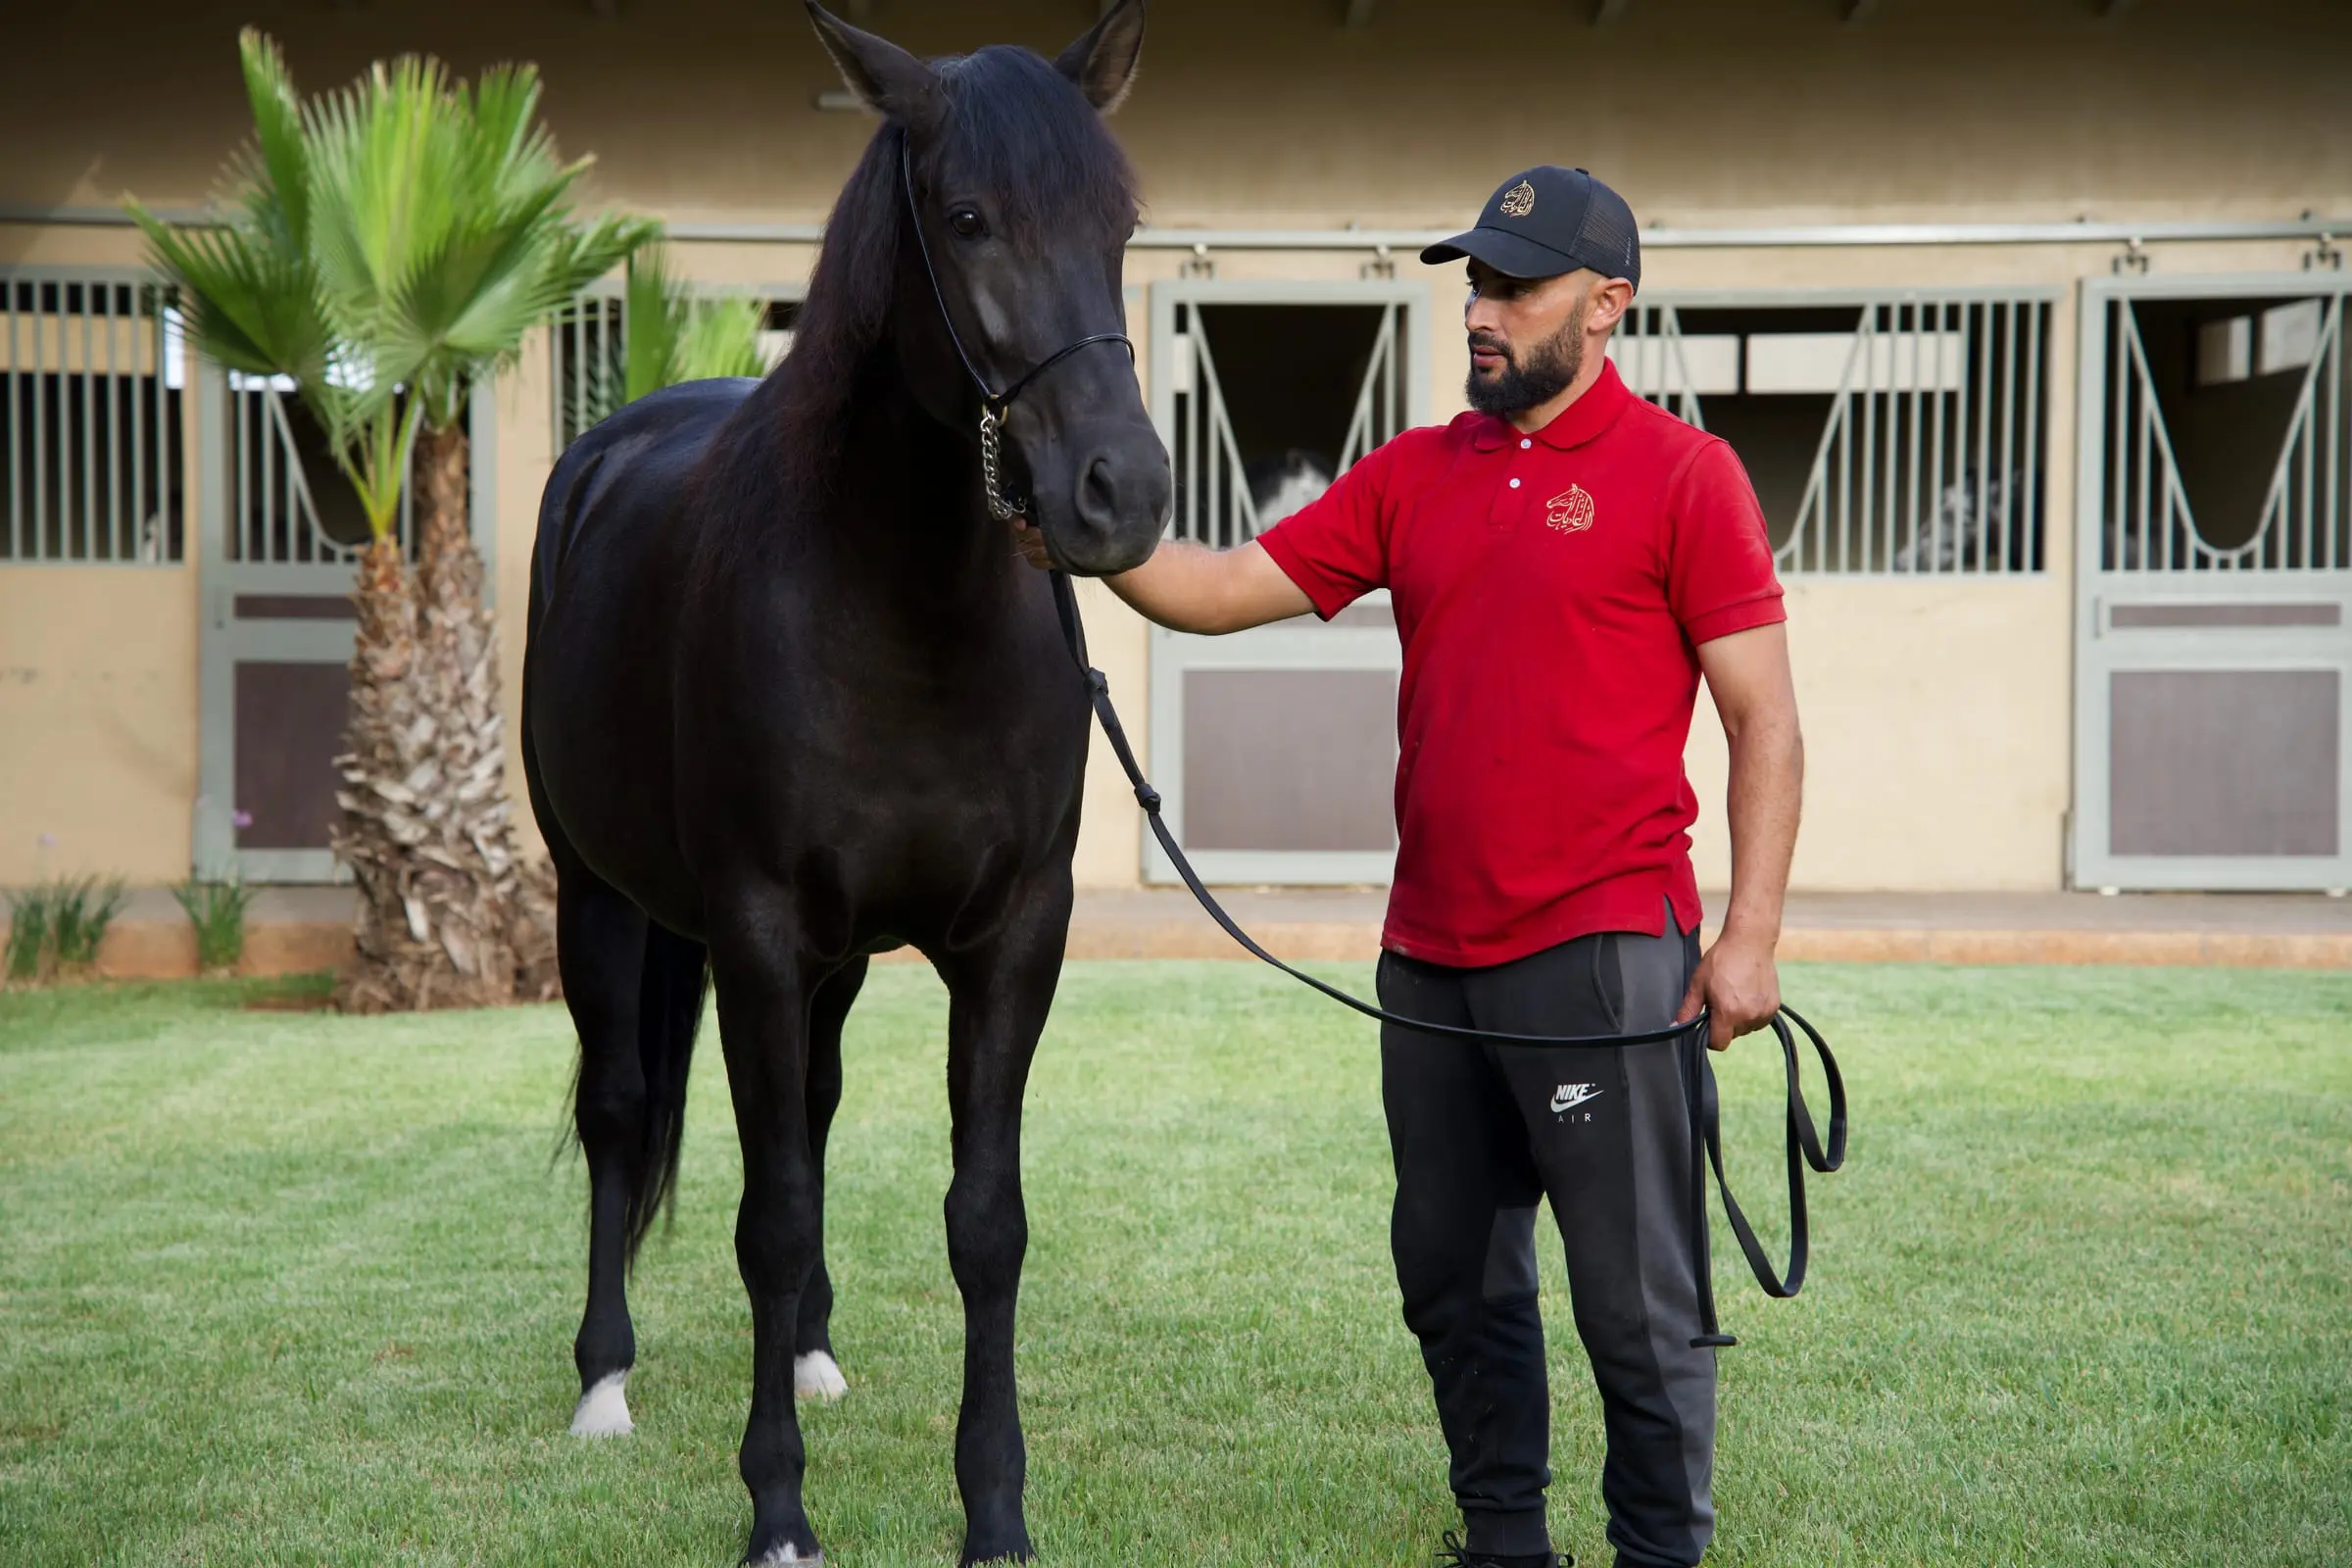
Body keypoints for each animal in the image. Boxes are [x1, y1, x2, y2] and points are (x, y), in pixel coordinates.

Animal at [519, 3, 1166, 1560]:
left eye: (1119, 225)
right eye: (969, 218)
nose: (1121, 491)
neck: (905, 608)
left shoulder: (1014, 939)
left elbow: (983, 1221)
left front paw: (995, 1512)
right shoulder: (754, 936)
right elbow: (767, 1219)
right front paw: (777, 1512)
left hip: (841, 961)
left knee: (806, 1112)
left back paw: (813, 1354)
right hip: (597, 898)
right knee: (623, 1110)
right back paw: (604, 1387)